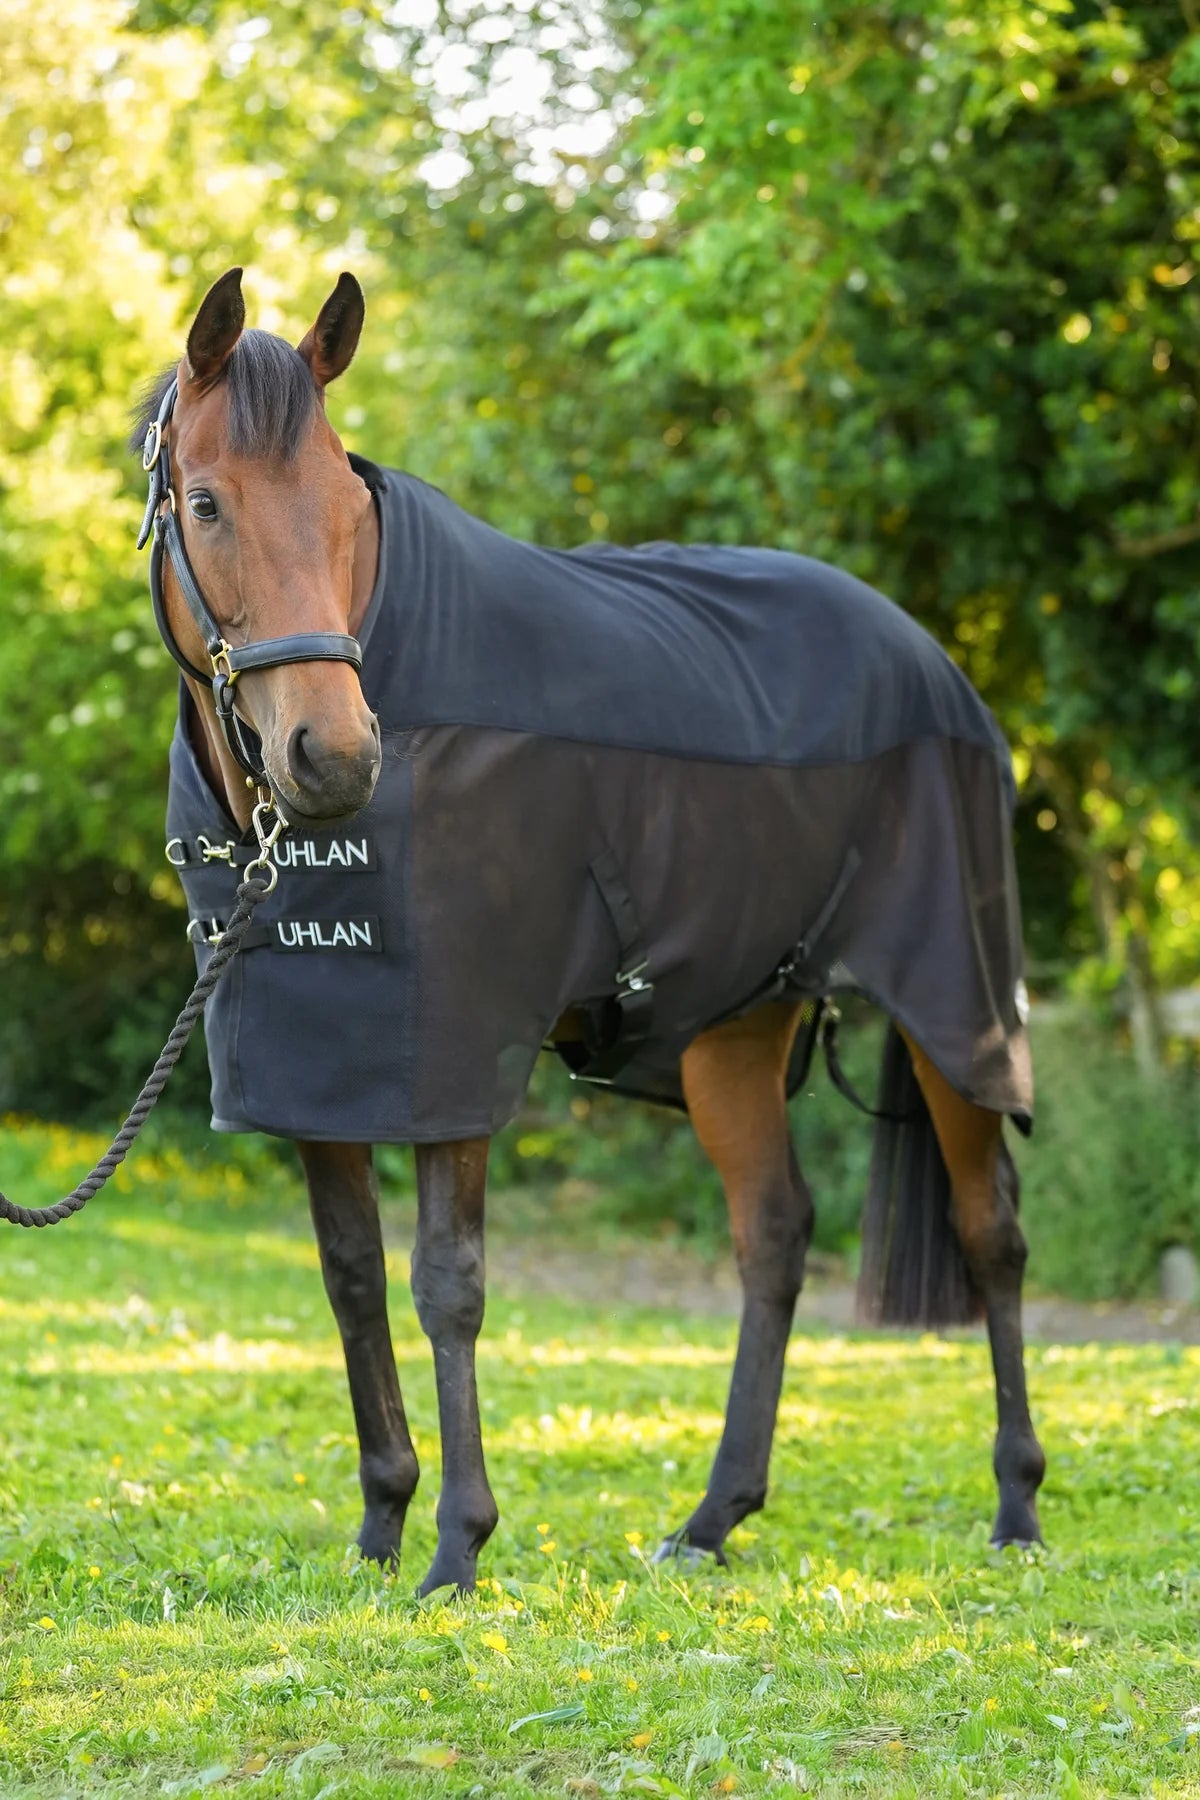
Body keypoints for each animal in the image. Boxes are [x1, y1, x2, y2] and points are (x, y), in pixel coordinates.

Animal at [132, 267, 1045, 1598]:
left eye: (348, 506)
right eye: (206, 503)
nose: (335, 757)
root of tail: (930, 657)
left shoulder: (454, 1054)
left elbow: (447, 1285)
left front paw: (456, 1547)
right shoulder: (313, 1067)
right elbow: (352, 1278)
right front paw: (381, 1523)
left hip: (953, 1008)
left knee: (993, 1234)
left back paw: (1018, 1506)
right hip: (733, 1026)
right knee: (775, 1235)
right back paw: (712, 1518)